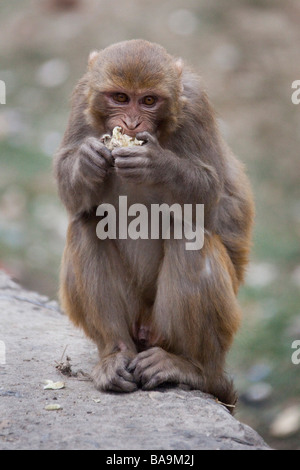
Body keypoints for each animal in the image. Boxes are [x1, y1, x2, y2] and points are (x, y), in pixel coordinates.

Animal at [54, 40, 253, 408]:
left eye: (148, 101)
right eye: (120, 97)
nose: (131, 123)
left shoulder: (197, 106)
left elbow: (208, 192)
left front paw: (155, 164)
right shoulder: (81, 97)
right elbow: (70, 193)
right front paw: (87, 161)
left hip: (191, 329)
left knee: (189, 236)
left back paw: (191, 368)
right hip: (133, 321)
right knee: (87, 222)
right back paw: (115, 354)